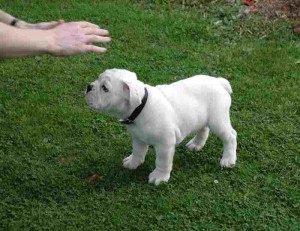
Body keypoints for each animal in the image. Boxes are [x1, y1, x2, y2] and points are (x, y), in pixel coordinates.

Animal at [85, 68, 238, 186]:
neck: (140, 107)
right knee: (203, 129)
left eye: (105, 88)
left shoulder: (165, 144)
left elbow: (162, 162)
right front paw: (133, 162)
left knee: (230, 136)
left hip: (218, 120)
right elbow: (138, 151)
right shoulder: (138, 138)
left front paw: (159, 176)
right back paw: (196, 144)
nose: (88, 87)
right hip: (202, 117)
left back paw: (228, 160)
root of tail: (219, 82)